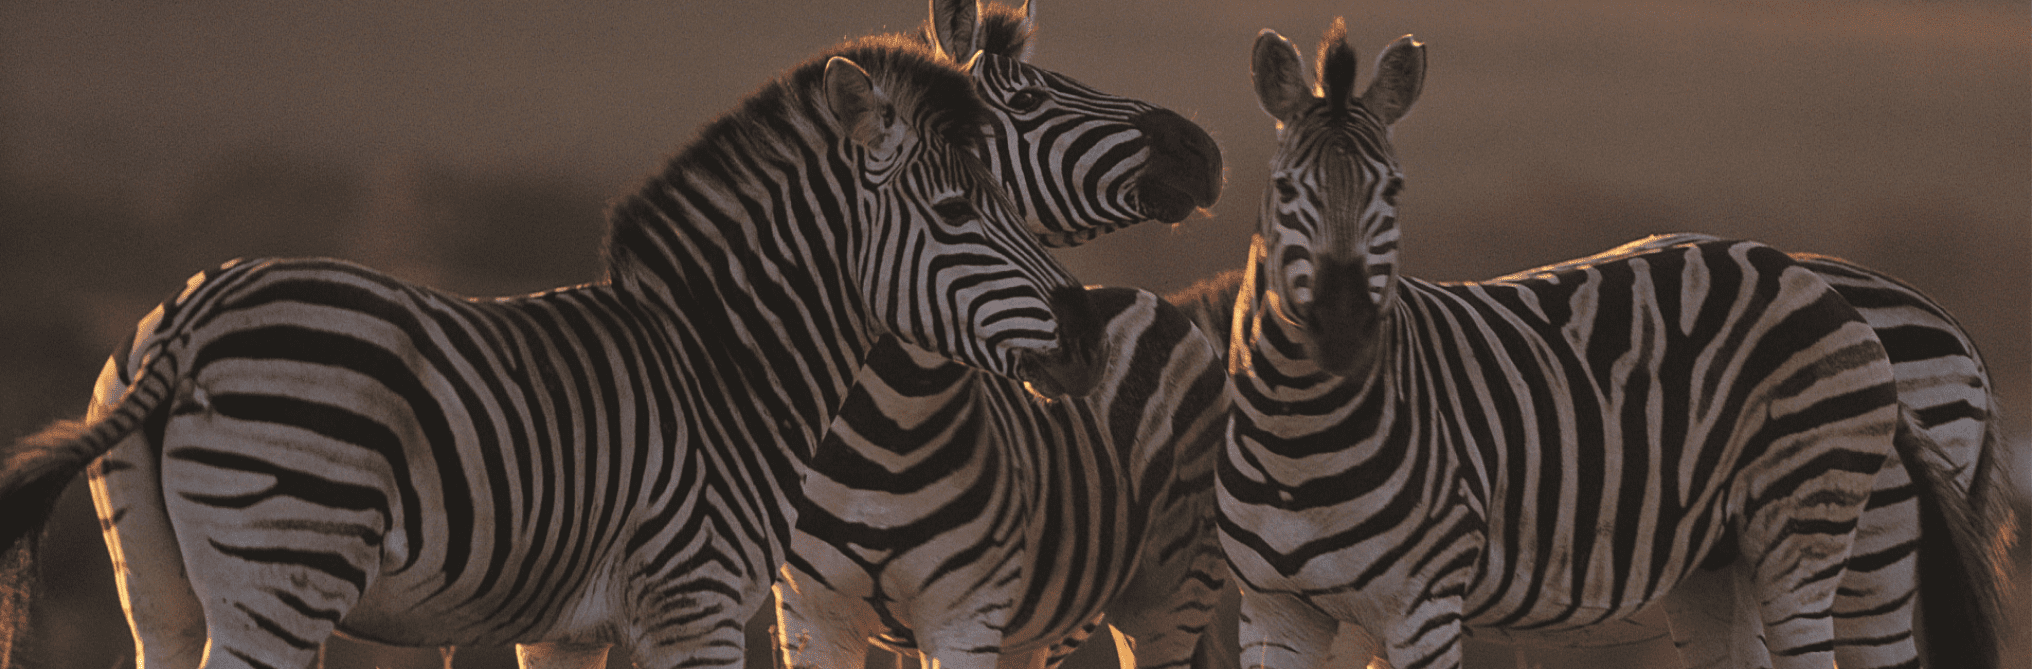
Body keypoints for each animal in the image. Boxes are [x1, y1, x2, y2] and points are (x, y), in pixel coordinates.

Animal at [0, 35, 1109, 669]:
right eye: (959, 213)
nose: (1089, 332)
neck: (728, 369)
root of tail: (196, 311)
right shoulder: (698, 603)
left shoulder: (566, 628)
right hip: (283, 569)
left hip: (157, 589)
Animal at [773, 3, 1234, 669]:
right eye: (1028, 98)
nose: (1205, 151)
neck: (882, 432)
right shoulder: (810, 614)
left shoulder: (965, 610)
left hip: (1167, 599)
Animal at [1207, 19, 2010, 669]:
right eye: (1283, 189)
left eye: (1395, 189)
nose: (1343, 327)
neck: (1297, 439)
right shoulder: (1275, 611)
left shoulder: (1420, 604)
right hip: (1721, 564)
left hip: (1846, 541)